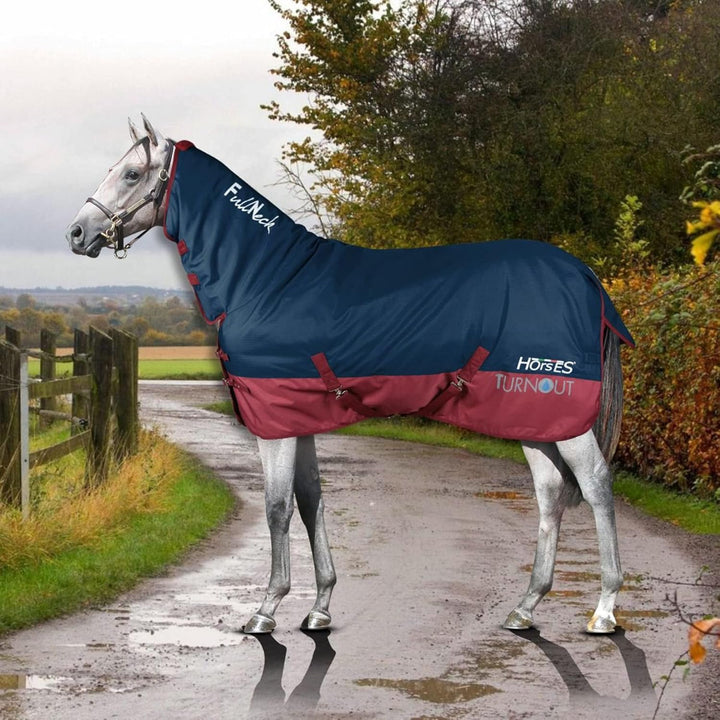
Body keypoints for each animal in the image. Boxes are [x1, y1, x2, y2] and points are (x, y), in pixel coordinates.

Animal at [65, 115, 633, 636]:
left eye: (132, 173)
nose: (76, 233)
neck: (266, 282)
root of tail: (584, 275)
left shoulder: (275, 422)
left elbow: (276, 507)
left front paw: (266, 610)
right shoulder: (299, 418)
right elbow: (311, 499)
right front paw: (319, 607)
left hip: (562, 408)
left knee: (597, 483)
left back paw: (605, 610)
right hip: (533, 416)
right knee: (551, 492)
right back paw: (526, 607)